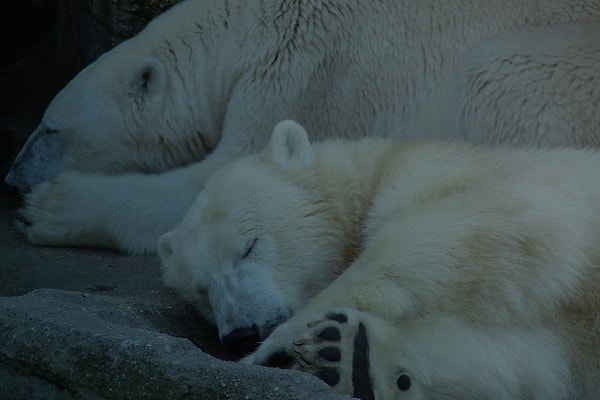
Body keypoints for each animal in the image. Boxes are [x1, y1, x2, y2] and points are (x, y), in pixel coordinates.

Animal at [7, 0, 600, 253]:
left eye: (51, 130)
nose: (11, 178)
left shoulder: (307, 71)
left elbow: (232, 175)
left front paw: (49, 208)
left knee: (495, 72)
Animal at [159, 120, 600, 398]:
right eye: (201, 289)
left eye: (250, 244)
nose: (240, 333)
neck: (373, 172)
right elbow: (536, 361)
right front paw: (351, 359)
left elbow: (470, 222)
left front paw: (269, 350)